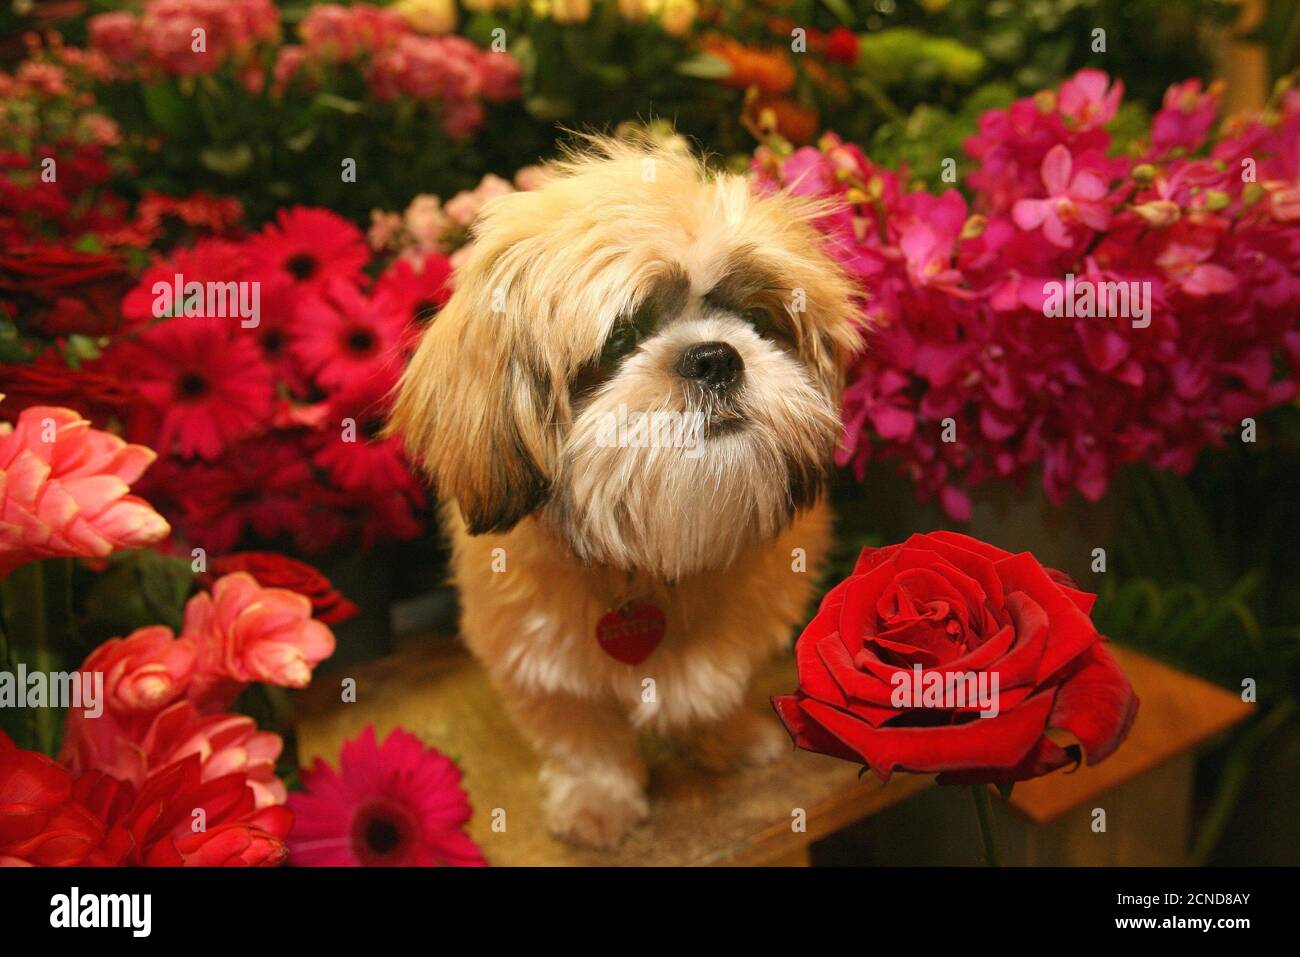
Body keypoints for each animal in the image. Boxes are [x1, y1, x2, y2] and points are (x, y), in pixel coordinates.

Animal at [395, 138, 863, 847]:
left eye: (755, 319)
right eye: (620, 337)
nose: (714, 356)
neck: (647, 564)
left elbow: (721, 686)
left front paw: (728, 738)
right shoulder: (540, 662)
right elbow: (582, 736)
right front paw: (597, 799)